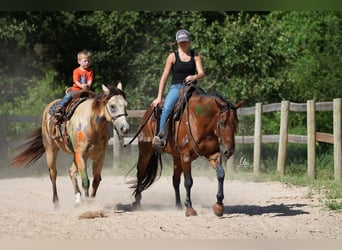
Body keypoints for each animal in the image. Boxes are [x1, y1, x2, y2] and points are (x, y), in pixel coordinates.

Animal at [130, 87, 242, 217]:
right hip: (145, 151)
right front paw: (189, 208)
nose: (229, 151)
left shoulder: (213, 155)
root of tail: (147, 114)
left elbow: (220, 174)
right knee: (140, 173)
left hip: (176, 157)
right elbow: (188, 181)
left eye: (236, 123)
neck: (199, 121)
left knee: (175, 180)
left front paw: (219, 205)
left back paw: (178, 205)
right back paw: (137, 202)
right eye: (222, 122)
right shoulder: (186, 157)